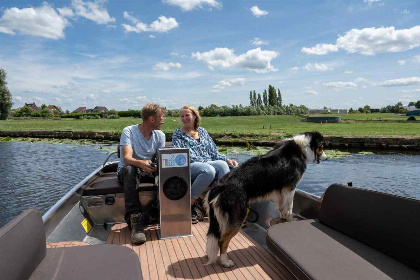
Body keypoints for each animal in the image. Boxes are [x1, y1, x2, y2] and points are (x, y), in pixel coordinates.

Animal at [205, 131, 326, 266]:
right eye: (321, 147)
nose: (327, 158)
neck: (301, 149)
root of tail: (220, 186)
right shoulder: (290, 187)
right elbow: (289, 207)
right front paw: (290, 220)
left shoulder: (280, 190)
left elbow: (282, 207)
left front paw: (283, 218)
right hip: (238, 215)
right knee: (222, 240)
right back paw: (225, 261)